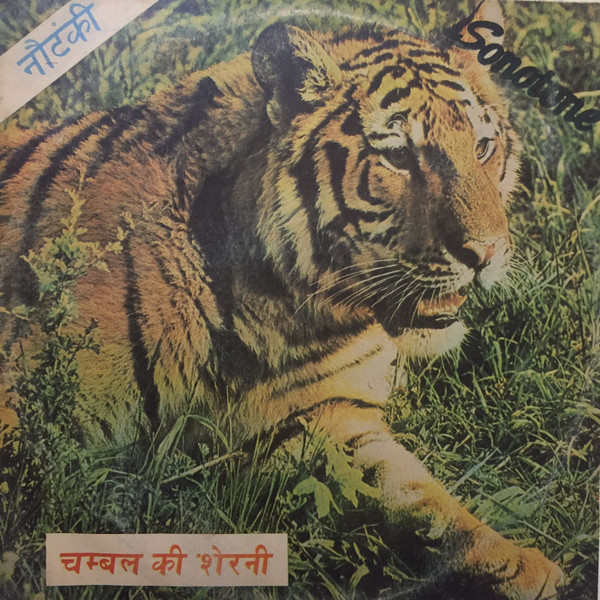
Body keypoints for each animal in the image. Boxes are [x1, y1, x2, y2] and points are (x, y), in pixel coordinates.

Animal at [0, 0, 564, 597]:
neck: (268, 305)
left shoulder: (322, 416)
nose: (485, 252)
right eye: (399, 158)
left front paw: (518, 566)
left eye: (482, 148)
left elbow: (419, 494)